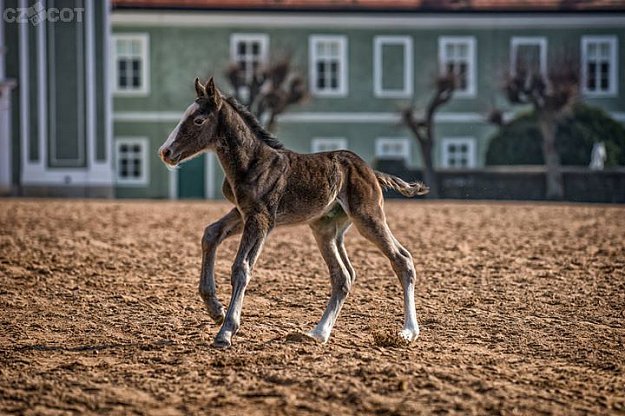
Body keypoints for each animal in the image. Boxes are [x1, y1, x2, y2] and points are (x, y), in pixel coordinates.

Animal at [158, 77, 426, 348]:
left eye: (198, 120)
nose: (166, 152)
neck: (253, 162)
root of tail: (371, 171)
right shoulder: (243, 212)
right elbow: (211, 233)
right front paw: (215, 309)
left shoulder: (262, 218)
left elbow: (241, 267)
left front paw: (226, 331)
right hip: (325, 228)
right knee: (343, 276)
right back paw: (318, 333)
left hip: (368, 217)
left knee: (401, 260)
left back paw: (408, 331)